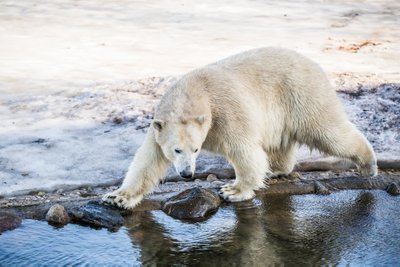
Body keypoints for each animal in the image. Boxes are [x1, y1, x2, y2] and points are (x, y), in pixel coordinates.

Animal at [101, 47, 376, 209]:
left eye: (196, 149)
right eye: (176, 150)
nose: (187, 174)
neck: (196, 90)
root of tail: (312, 62)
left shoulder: (226, 110)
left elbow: (243, 148)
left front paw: (233, 190)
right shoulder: (159, 126)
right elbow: (148, 161)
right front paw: (117, 196)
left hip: (301, 93)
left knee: (327, 131)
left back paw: (368, 164)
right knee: (280, 144)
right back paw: (276, 169)